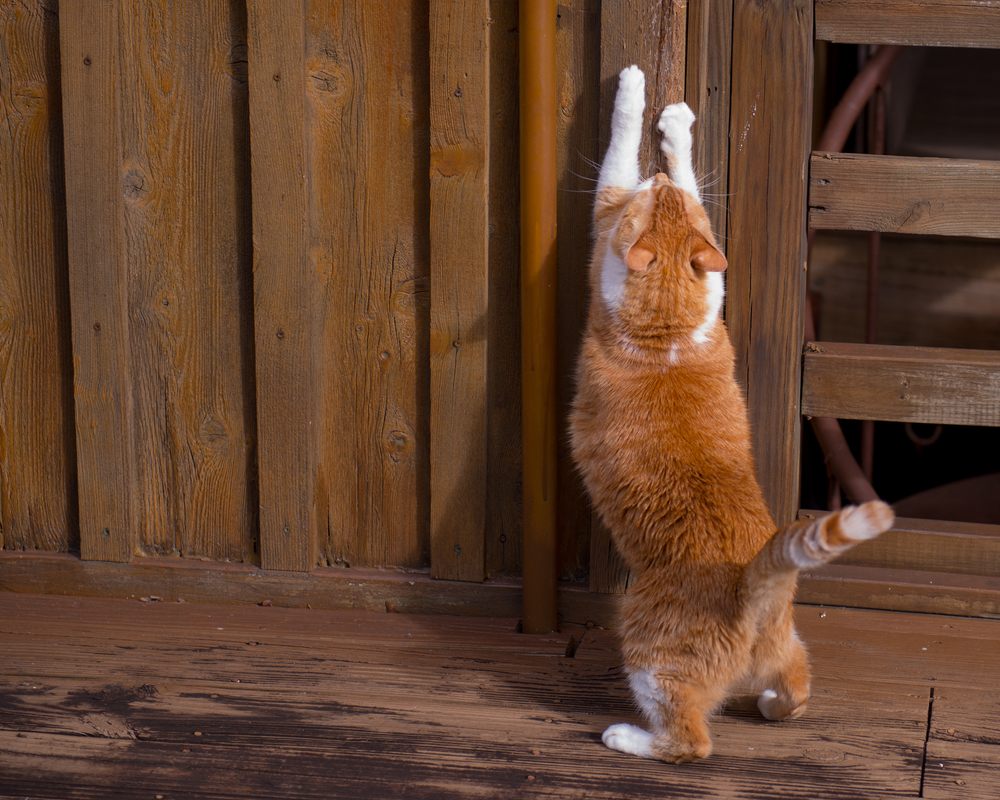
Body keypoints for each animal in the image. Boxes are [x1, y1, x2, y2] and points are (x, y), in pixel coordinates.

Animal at [572, 67, 900, 764]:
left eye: (651, 201)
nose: (657, 181)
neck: (668, 319)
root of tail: (755, 587)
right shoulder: (712, 277)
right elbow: (699, 193)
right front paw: (674, 136)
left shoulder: (604, 217)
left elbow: (617, 150)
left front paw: (642, 102)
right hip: (790, 647)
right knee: (794, 691)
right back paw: (771, 702)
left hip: (649, 653)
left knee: (690, 742)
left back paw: (626, 736)